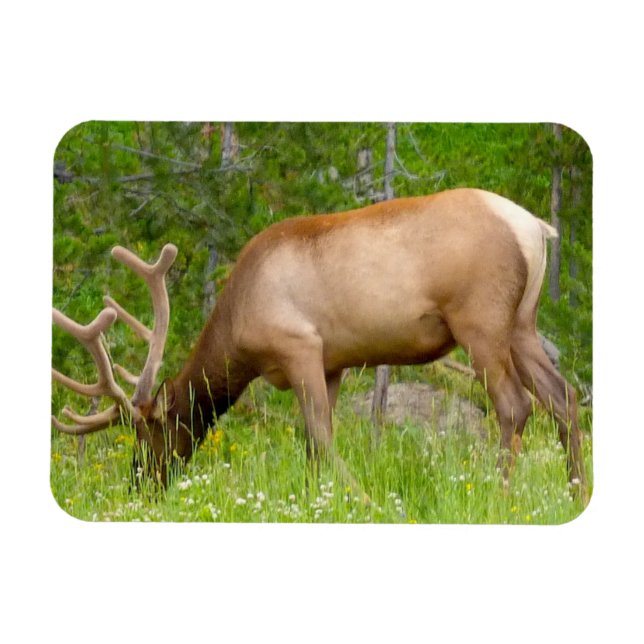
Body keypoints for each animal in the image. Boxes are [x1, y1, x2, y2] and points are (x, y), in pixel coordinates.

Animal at [52, 188, 589, 505]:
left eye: (148, 435)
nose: (138, 486)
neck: (236, 328)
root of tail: (535, 227)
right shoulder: (334, 363)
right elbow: (312, 444)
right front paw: (318, 501)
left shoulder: (299, 346)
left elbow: (321, 436)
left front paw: (364, 501)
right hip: (521, 323)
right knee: (564, 396)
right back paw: (577, 492)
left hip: (479, 319)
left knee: (515, 405)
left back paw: (499, 498)